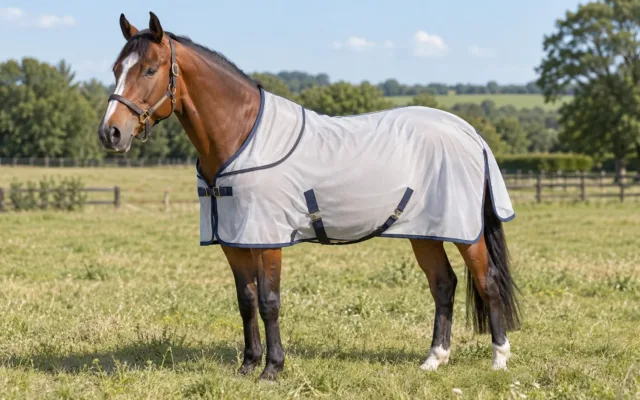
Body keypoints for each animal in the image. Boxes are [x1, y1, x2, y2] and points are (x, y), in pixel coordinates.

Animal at [98, 12, 521, 381]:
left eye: (149, 69)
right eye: (117, 69)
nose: (110, 133)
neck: (240, 134)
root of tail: (469, 133)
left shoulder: (267, 239)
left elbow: (269, 301)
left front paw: (272, 369)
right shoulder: (234, 241)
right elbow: (246, 300)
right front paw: (247, 366)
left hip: (466, 232)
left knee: (487, 280)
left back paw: (499, 359)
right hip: (424, 231)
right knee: (443, 284)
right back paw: (435, 359)